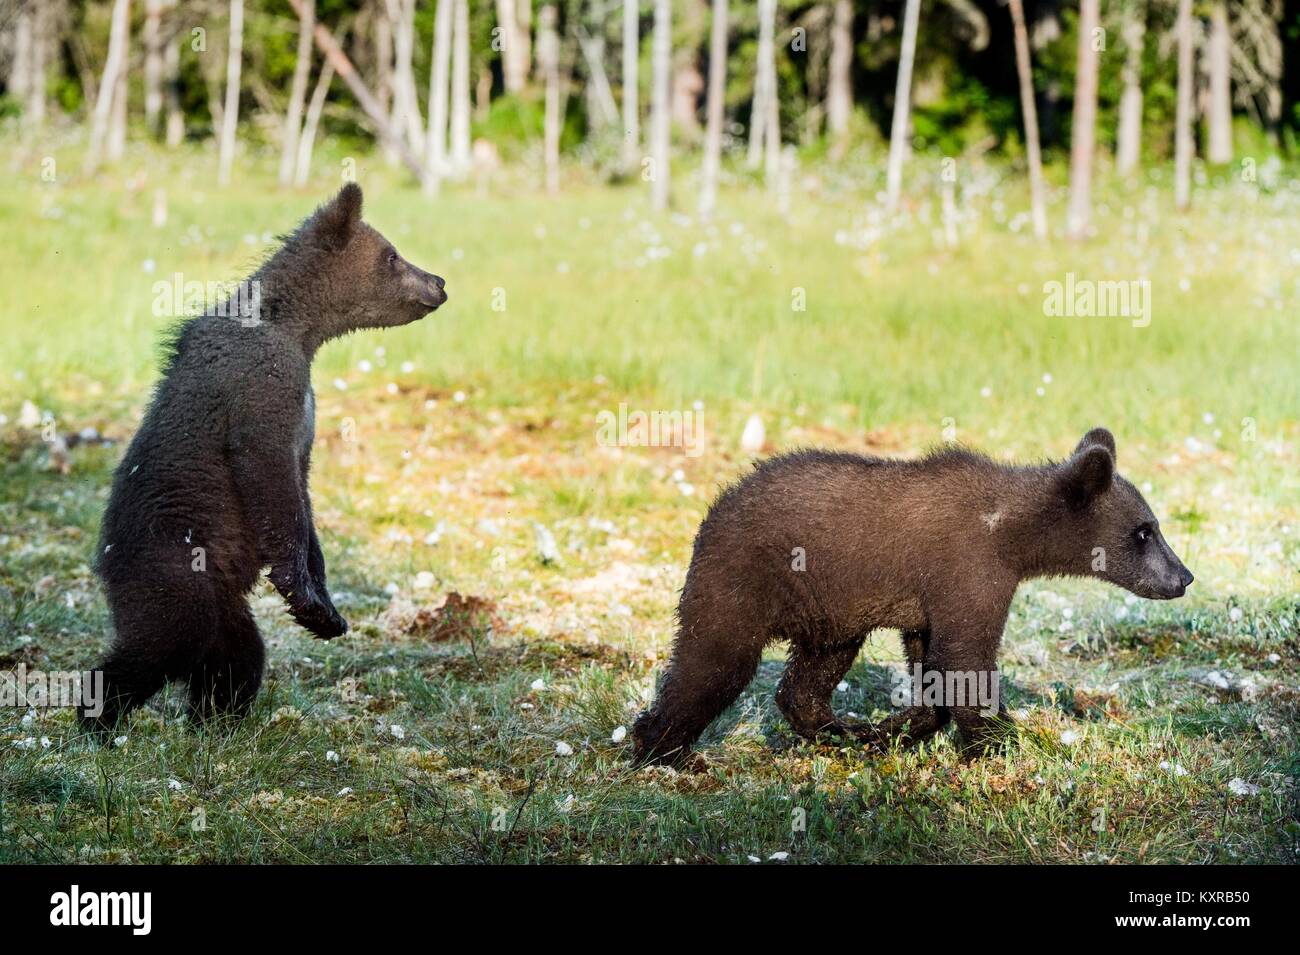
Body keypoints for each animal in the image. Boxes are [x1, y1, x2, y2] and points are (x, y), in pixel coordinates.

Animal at [80, 183, 446, 735]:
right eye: (392, 254)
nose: (439, 282)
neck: (297, 329)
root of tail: (106, 567)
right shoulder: (264, 387)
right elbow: (271, 481)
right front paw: (309, 602)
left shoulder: (304, 410)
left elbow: (304, 492)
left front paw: (327, 606)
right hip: (172, 564)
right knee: (164, 641)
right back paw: (96, 719)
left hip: (224, 600)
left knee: (238, 656)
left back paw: (215, 719)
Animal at [631, 428, 1194, 766]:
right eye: (1144, 532)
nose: (1183, 576)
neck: (1012, 534)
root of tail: (716, 506)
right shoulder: (968, 568)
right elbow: (966, 656)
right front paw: (1004, 739)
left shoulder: (934, 600)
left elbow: (934, 660)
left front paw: (896, 729)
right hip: (742, 579)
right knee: (713, 661)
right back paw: (664, 748)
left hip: (831, 608)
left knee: (811, 673)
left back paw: (842, 731)